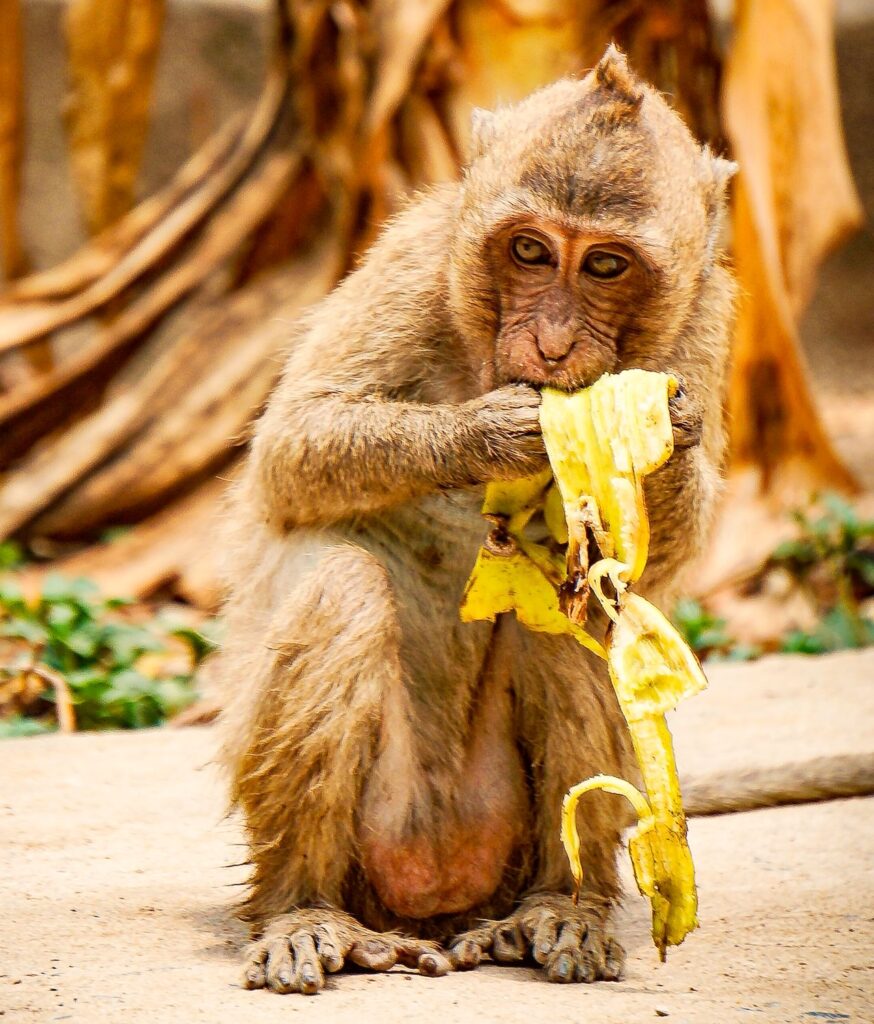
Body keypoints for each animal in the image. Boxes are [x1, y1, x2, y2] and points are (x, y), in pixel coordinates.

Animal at [216, 44, 740, 995]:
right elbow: (291, 449)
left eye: (605, 267)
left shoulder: (709, 317)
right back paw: (303, 911)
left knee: (577, 620)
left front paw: (667, 435)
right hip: (382, 827)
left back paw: (559, 909)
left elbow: (651, 560)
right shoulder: (415, 260)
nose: (555, 345)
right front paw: (492, 434)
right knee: (342, 587)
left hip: (502, 837)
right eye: (529, 251)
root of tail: (438, 891)